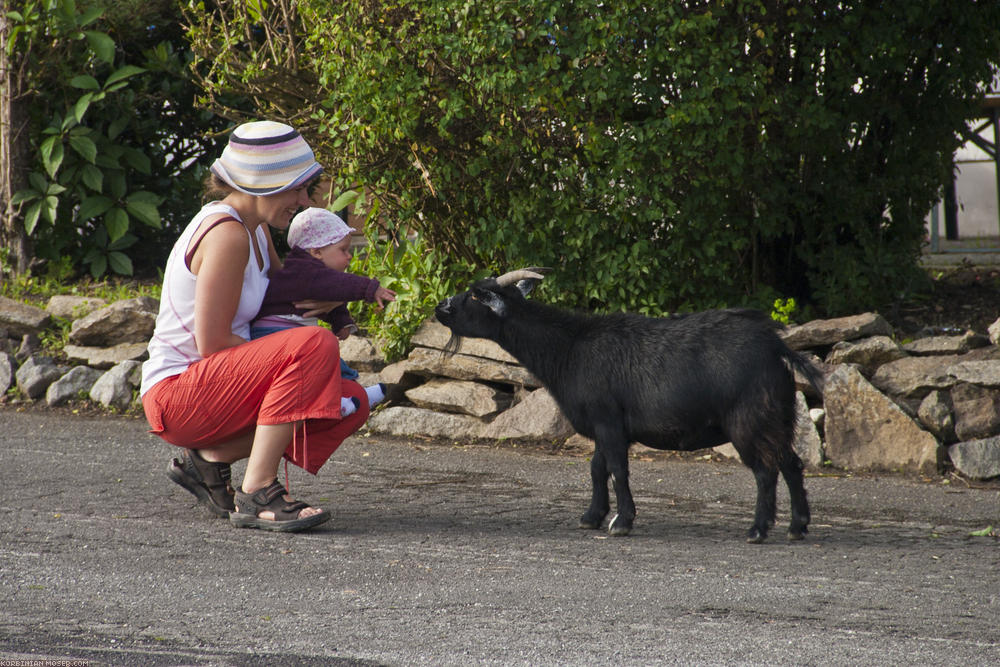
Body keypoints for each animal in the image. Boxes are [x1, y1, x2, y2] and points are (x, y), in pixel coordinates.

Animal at [434, 270, 824, 544]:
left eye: (474, 295)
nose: (440, 308)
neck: (570, 348)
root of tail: (776, 347)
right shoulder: (602, 425)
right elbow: (597, 468)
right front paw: (592, 516)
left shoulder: (609, 421)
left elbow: (618, 470)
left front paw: (621, 521)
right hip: (778, 416)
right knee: (792, 463)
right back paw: (797, 526)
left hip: (749, 419)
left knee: (765, 470)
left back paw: (758, 529)